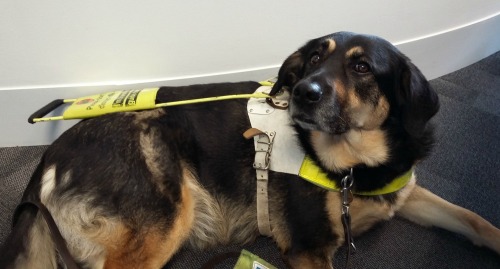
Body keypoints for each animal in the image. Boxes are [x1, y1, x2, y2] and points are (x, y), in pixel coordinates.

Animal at [0, 31, 500, 268]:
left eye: (361, 67)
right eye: (314, 59)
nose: (303, 93)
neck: (355, 164)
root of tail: (49, 159)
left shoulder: (405, 192)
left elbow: (474, 219)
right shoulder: (308, 249)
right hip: (165, 215)